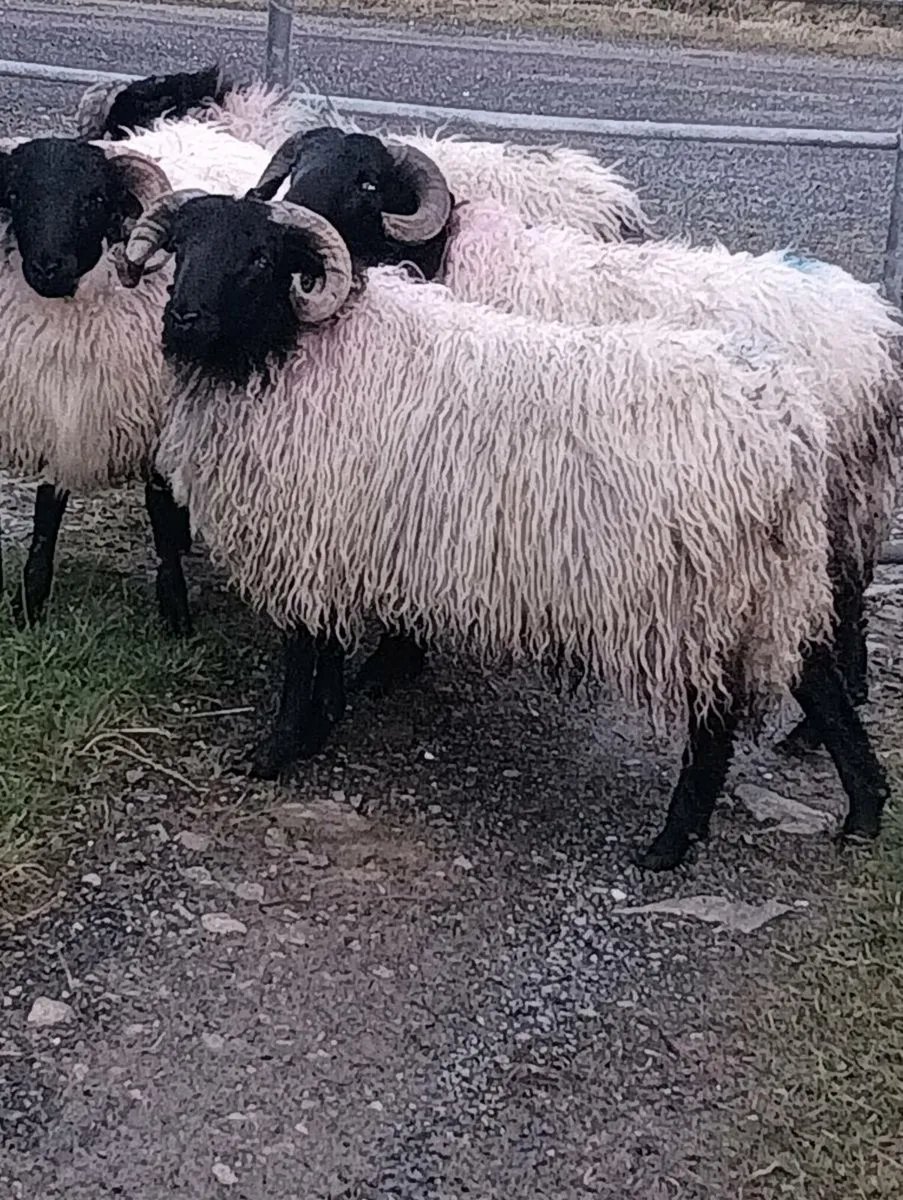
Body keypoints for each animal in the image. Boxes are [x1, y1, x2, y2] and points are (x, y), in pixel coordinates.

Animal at [0, 71, 306, 631]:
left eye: (94, 200)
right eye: (15, 193)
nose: (48, 267)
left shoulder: (160, 413)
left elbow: (160, 510)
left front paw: (175, 611)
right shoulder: (61, 404)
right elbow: (47, 510)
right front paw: (30, 601)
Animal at [120, 190, 890, 871]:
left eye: (257, 258)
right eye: (181, 247)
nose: (182, 318)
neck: (287, 354)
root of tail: (787, 423)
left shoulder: (305, 536)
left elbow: (302, 652)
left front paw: (274, 752)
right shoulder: (332, 543)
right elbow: (327, 649)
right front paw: (319, 727)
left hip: (701, 595)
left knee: (716, 724)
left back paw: (671, 844)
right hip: (769, 582)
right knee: (816, 677)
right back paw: (864, 810)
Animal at [245, 130, 903, 739]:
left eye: (366, 183)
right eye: (297, 168)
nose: (291, 228)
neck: (445, 259)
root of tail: (875, 323)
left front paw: (392, 662)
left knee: (840, 603)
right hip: (844, 502)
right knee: (844, 601)